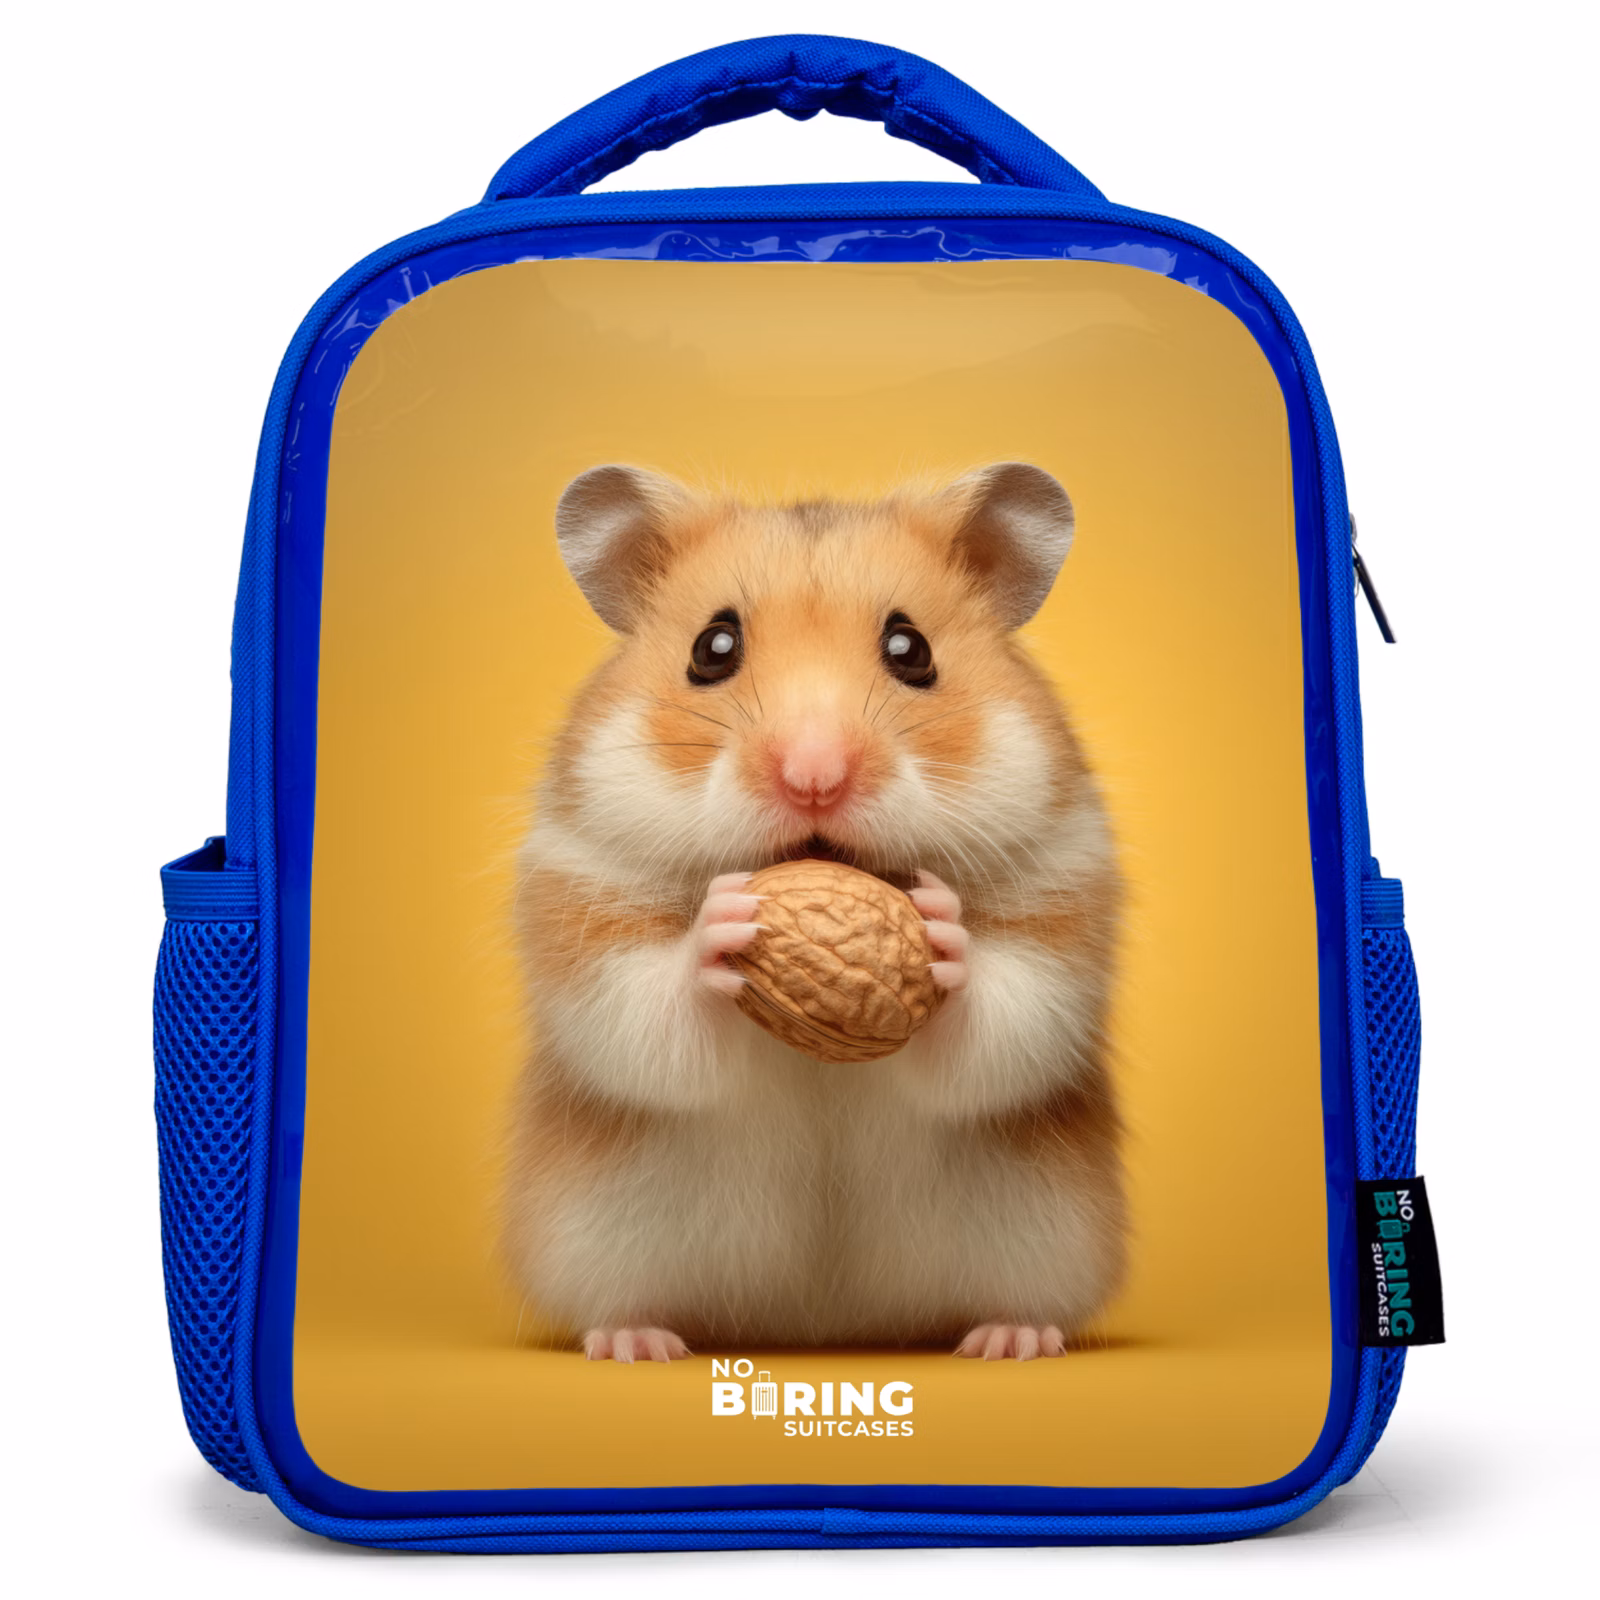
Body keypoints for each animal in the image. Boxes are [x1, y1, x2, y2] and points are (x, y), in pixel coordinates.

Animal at [505, 462, 1126, 1362]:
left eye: (912, 650)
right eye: (712, 648)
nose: (814, 777)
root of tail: (821, 1326)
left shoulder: (1063, 900)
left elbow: (1006, 1023)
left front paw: (942, 928)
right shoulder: (582, 901)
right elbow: (645, 1017)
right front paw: (722, 923)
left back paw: (1010, 1339)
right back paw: (637, 1342)